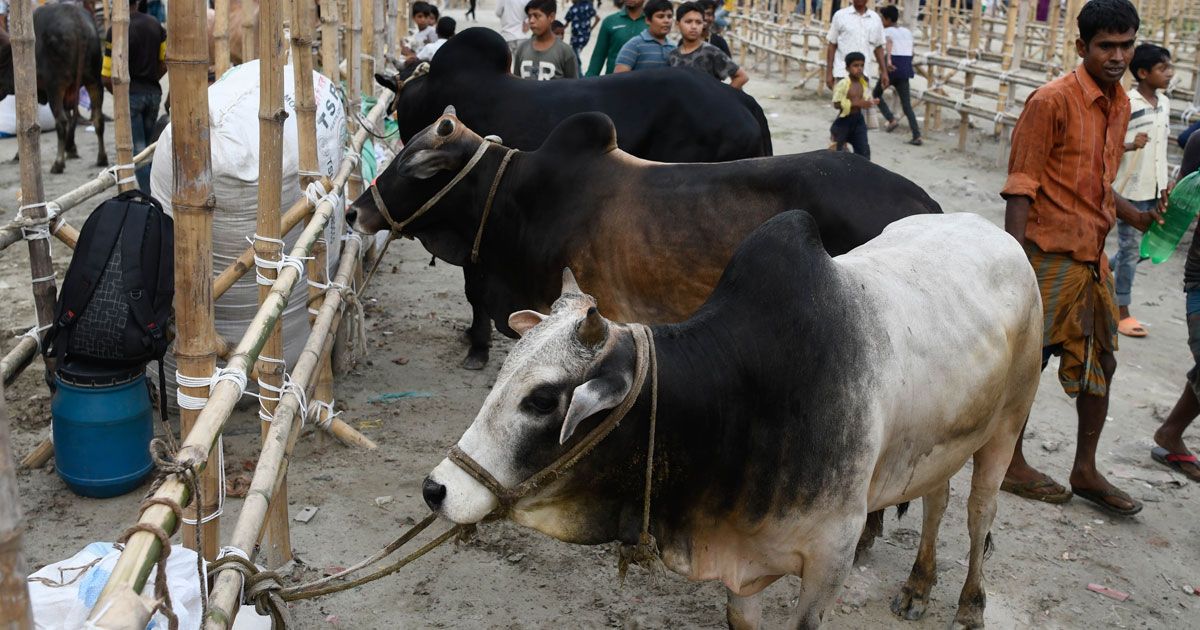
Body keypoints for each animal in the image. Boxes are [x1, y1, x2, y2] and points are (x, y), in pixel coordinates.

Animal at [0, 4, 108, 174]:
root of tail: (78, 22)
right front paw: (71, 148)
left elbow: (28, 126)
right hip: (94, 81)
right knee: (98, 119)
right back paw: (101, 158)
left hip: (55, 87)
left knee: (61, 122)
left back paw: (58, 163)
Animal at [422, 212, 1041, 628]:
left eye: (543, 400)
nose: (436, 489)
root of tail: (994, 231)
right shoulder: (743, 570)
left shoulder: (830, 560)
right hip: (942, 440)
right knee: (937, 499)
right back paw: (918, 585)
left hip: (1008, 424)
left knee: (979, 513)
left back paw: (969, 605)